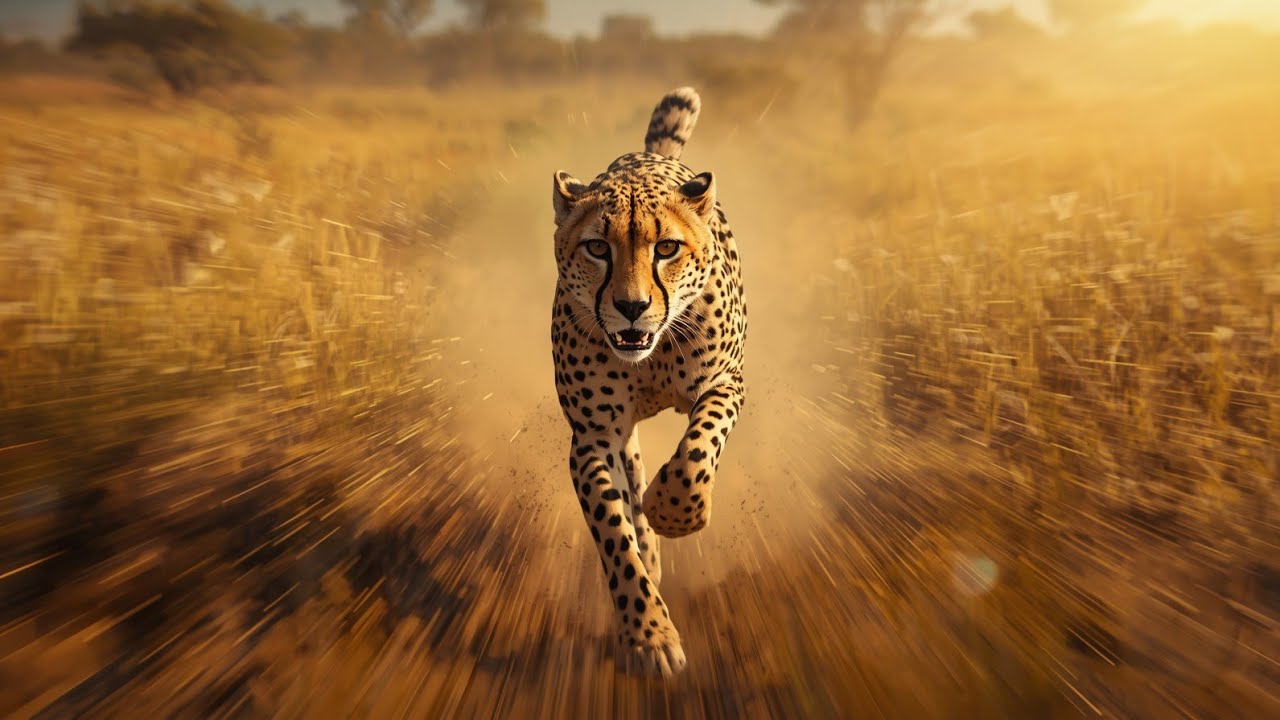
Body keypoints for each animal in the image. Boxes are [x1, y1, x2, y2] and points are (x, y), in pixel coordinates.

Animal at [549, 87, 746, 678]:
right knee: (631, 490)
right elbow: (615, 533)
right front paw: (648, 634)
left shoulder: (726, 382)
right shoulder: (594, 436)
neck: (650, 356)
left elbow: (697, 451)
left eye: (666, 248)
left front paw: (675, 511)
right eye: (597, 248)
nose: (632, 308)